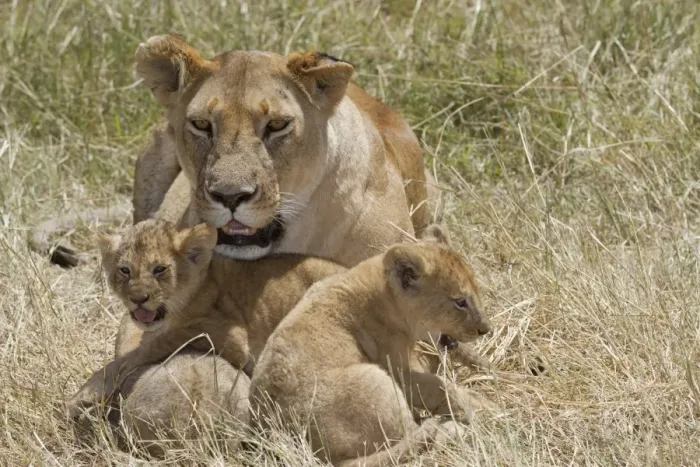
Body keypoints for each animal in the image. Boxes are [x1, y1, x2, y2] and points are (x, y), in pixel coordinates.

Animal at [249, 227, 495, 466]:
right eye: (460, 302)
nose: (486, 329)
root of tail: (327, 457)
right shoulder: (399, 372)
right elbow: (439, 388)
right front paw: (485, 407)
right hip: (374, 380)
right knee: (413, 439)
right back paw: (454, 428)